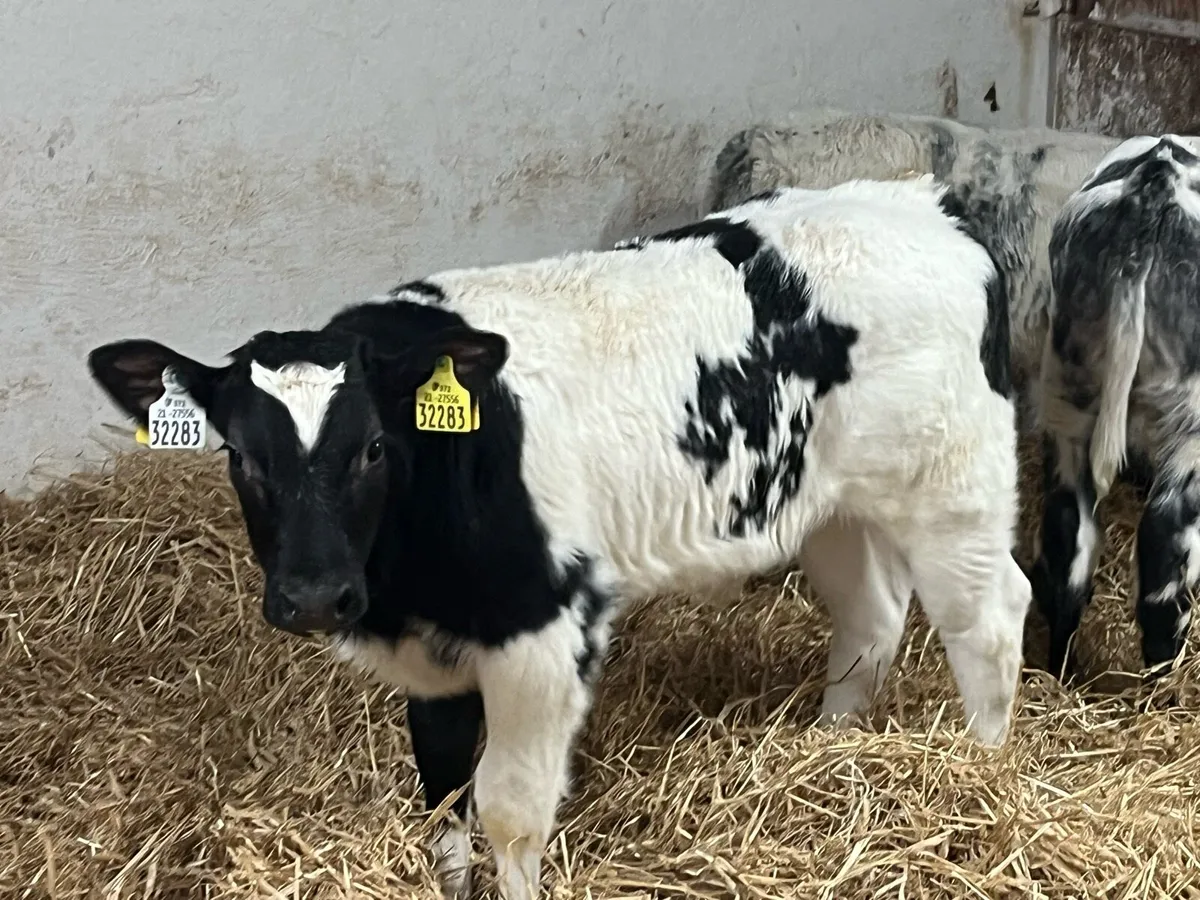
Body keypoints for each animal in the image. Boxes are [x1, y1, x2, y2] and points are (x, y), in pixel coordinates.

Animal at [86, 178, 1031, 899]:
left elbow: (507, 809)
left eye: (374, 447)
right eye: (240, 456)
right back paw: (831, 749)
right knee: (872, 616)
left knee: (987, 620)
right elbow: (442, 789)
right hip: (827, 503)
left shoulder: (543, 629)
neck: (407, 583)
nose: (315, 595)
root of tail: (925, 203)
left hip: (955, 485)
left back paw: (980, 771)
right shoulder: (433, 656)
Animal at [1033, 134, 1200, 678]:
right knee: (1163, 545)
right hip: (1191, 419)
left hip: (1069, 390)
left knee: (1068, 545)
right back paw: (1161, 676)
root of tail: (1154, 185)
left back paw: (1060, 672)